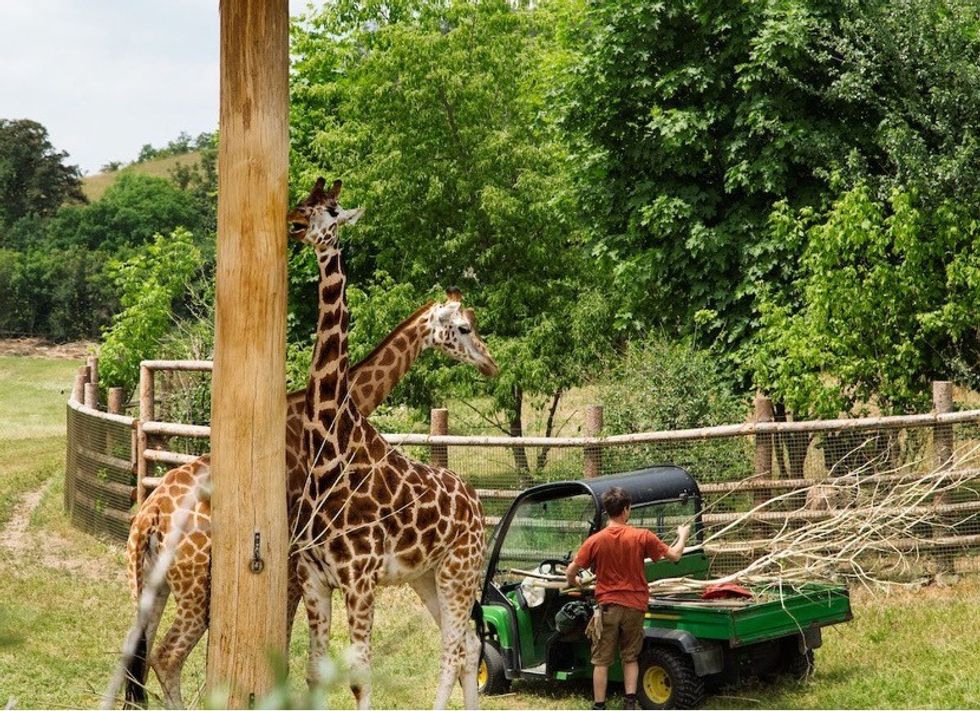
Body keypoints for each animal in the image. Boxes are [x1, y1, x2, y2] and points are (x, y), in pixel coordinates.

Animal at [124, 290, 497, 709]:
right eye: (464, 327)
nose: (490, 364)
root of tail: (149, 517)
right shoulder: (293, 562)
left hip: (150, 583)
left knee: (138, 659)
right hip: (196, 589)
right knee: (166, 655)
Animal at [289, 178, 486, 710]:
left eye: (331, 211)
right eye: (303, 202)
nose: (292, 223)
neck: (329, 448)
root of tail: (480, 504)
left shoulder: (360, 578)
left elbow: (360, 674)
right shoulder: (314, 577)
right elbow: (315, 671)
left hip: (460, 569)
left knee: (455, 647)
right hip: (426, 575)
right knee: (469, 642)